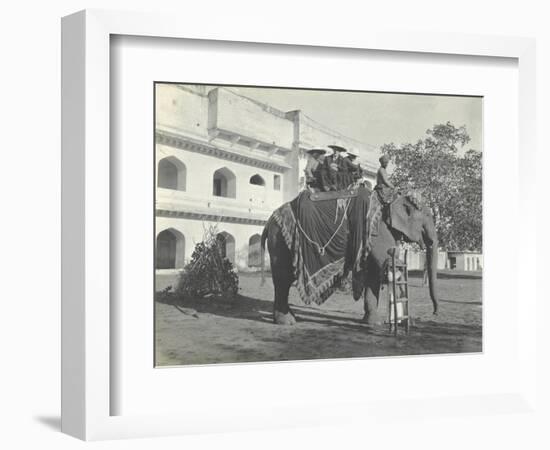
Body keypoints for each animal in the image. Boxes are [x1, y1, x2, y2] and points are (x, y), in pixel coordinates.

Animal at [262, 192, 440, 326]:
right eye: (427, 215)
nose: (435, 312)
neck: (389, 205)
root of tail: (269, 221)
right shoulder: (378, 233)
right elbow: (385, 263)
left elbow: (374, 277)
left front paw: (373, 323)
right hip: (280, 241)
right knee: (283, 279)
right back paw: (287, 322)